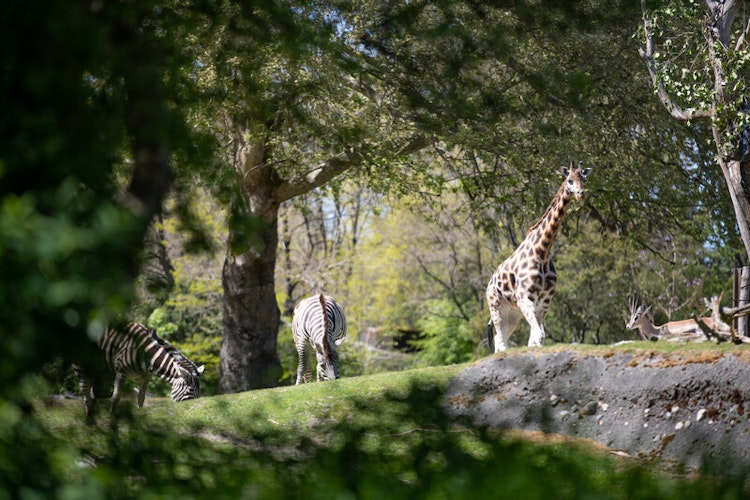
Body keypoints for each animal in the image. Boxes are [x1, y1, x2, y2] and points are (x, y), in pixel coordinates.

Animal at [73, 322, 204, 416]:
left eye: (198, 393)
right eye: (189, 391)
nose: (193, 411)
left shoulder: (146, 377)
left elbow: (141, 398)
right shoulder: (121, 372)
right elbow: (116, 396)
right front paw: (112, 415)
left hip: (100, 372)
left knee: (93, 394)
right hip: (81, 365)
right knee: (85, 393)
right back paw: (88, 417)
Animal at [488, 160, 592, 352]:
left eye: (584, 179)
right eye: (569, 180)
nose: (580, 194)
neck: (542, 252)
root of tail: (490, 282)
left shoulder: (545, 300)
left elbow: (537, 339)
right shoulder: (525, 298)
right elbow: (539, 336)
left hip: (512, 314)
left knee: (501, 340)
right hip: (496, 307)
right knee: (501, 343)